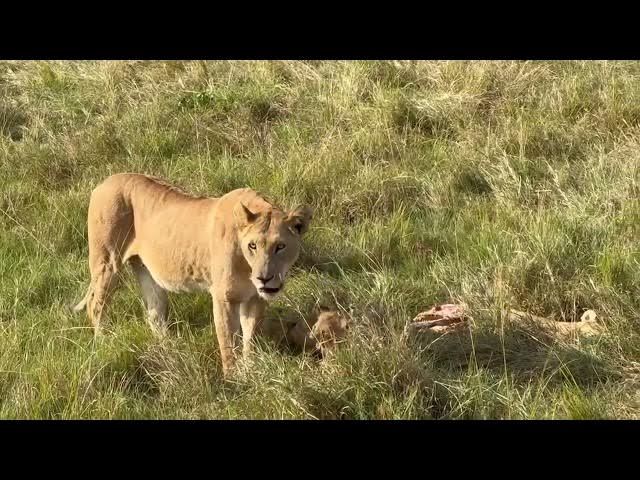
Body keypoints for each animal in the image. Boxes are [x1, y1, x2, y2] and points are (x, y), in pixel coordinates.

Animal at [73, 173, 313, 376]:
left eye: (280, 246)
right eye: (252, 246)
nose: (264, 278)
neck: (248, 267)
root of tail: (105, 181)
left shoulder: (255, 298)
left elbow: (250, 337)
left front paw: (250, 369)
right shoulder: (224, 297)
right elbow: (228, 341)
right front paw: (233, 380)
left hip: (145, 270)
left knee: (154, 313)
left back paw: (169, 350)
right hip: (107, 262)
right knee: (96, 305)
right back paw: (104, 343)